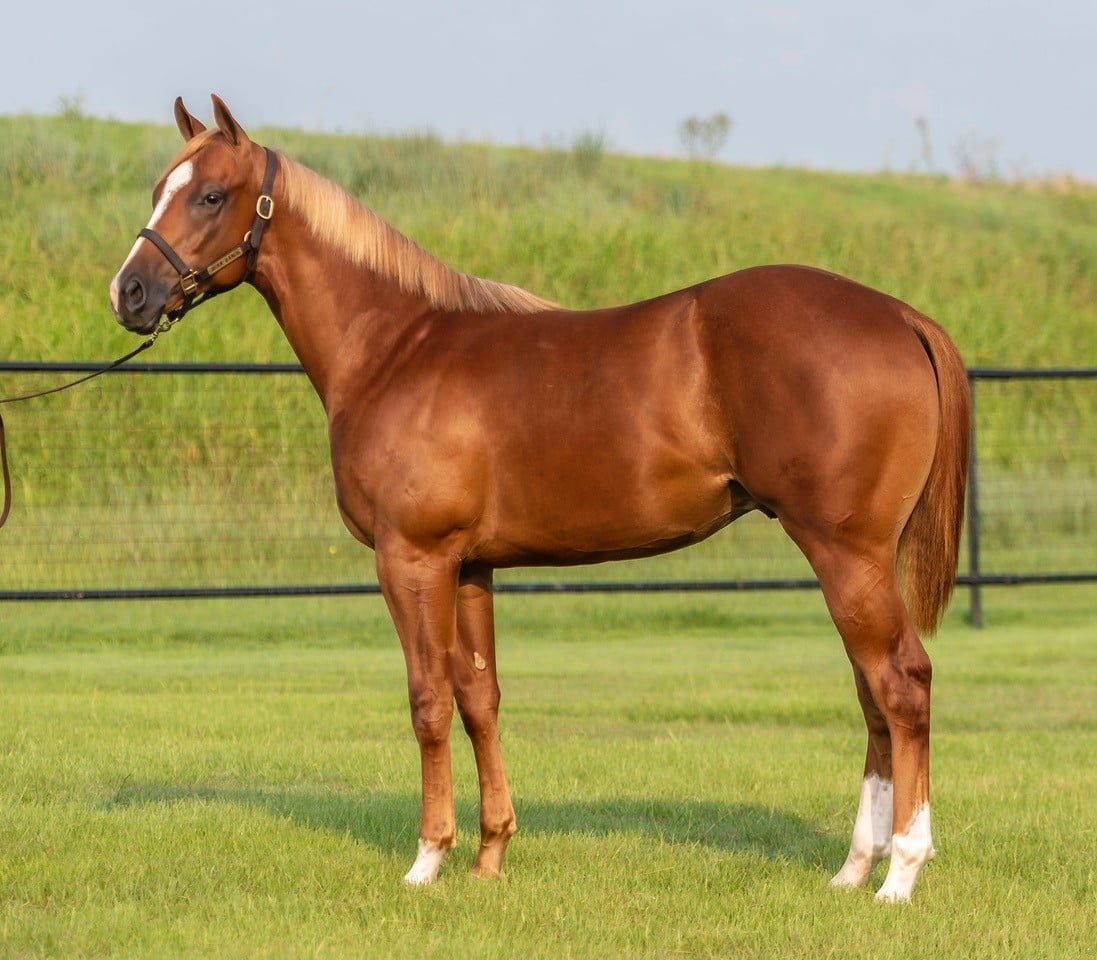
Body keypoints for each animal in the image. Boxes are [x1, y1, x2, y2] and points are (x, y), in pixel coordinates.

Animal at [109, 95, 969, 902]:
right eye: (158, 189)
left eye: (211, 195)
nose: (130, 293)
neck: (395, 349)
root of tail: (899, 315)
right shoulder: (468, 567)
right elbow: (479, 698)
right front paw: (490, 854)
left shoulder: (411, 559)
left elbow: (427, 699)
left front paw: (427, 859)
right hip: (855, 559)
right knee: (871, 695)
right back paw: (854, 868)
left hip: (843, 551)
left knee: (900, 684)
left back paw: (899, 873)